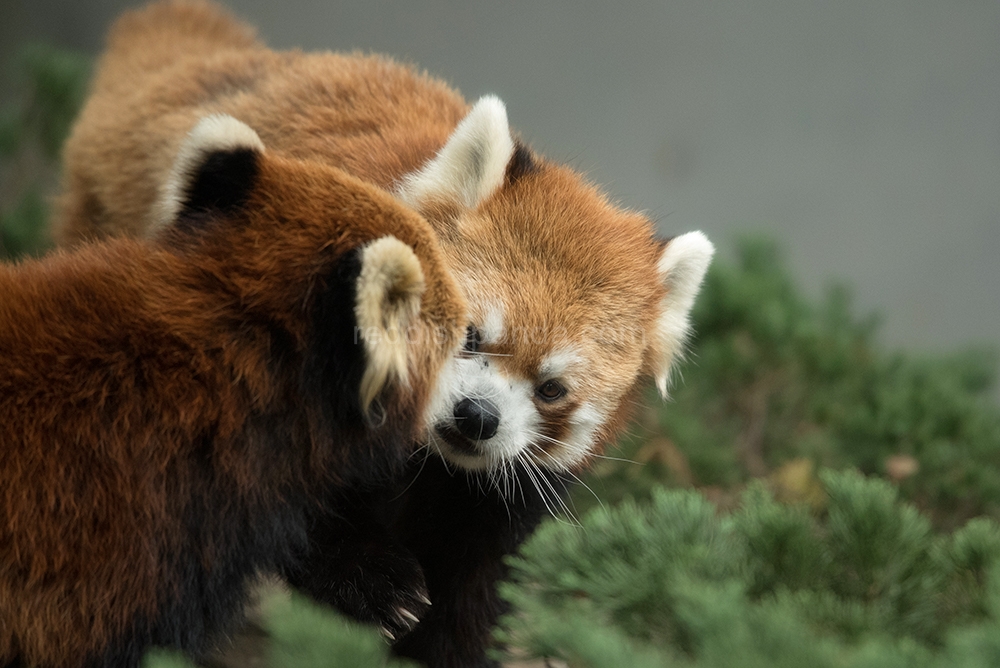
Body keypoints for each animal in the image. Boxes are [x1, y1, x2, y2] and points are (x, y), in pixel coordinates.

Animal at [54, 2, 716, 664]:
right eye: (468, 335)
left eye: (551, 388)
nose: (477, 416)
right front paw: (376, 585)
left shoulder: (495, 490)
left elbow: (478, 571)